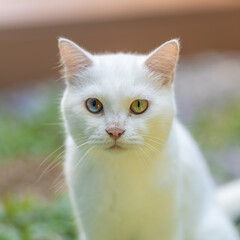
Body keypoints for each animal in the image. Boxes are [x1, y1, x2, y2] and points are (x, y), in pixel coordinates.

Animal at [58, 38, 240, 240]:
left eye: (139, 105)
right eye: (93, 105)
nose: (115, 131)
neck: (121, 172)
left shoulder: (164, 226)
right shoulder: (95, 228)